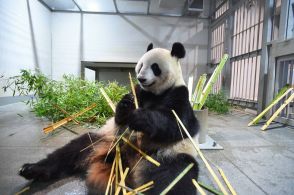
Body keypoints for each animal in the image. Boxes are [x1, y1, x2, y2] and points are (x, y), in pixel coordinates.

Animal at [19, 42, 200, 194]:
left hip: (165, 155)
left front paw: (139, 118)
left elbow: (177, 124)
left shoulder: (178, 94)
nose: (141, 78)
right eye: (141, 65)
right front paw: (126, 105)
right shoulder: (139, 92)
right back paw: (31, 170)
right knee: (71, 151)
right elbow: (119, 116)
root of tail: (125, 163)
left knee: (175, 178)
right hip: (103, 140)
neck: (154, 93)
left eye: (155, 67)